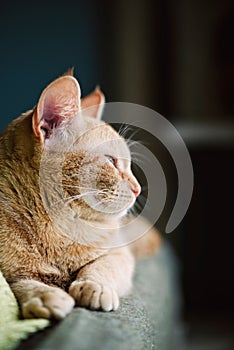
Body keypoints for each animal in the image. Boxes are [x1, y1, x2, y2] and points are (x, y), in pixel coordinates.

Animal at [0, 69, 160, 318]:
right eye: (111, 161)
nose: (138, 188)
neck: (57, 229)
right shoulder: (9, 275)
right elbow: (20, 285)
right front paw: (44, 296)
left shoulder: (119, 255)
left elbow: (101, 266)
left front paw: (94, 286)